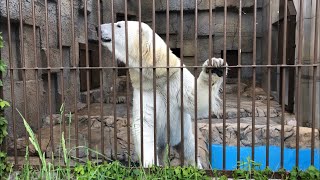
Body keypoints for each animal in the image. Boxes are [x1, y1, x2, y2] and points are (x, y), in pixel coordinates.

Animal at [100, 21, 228, 167]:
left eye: (118, 25)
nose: (99, 28)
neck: (156, 72)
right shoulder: (145, 88)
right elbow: (144, 122)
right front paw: (151, 164)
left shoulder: (176, 77)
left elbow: (194, 100)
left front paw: (215, 66)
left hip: (182, 135)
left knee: (189, 151)